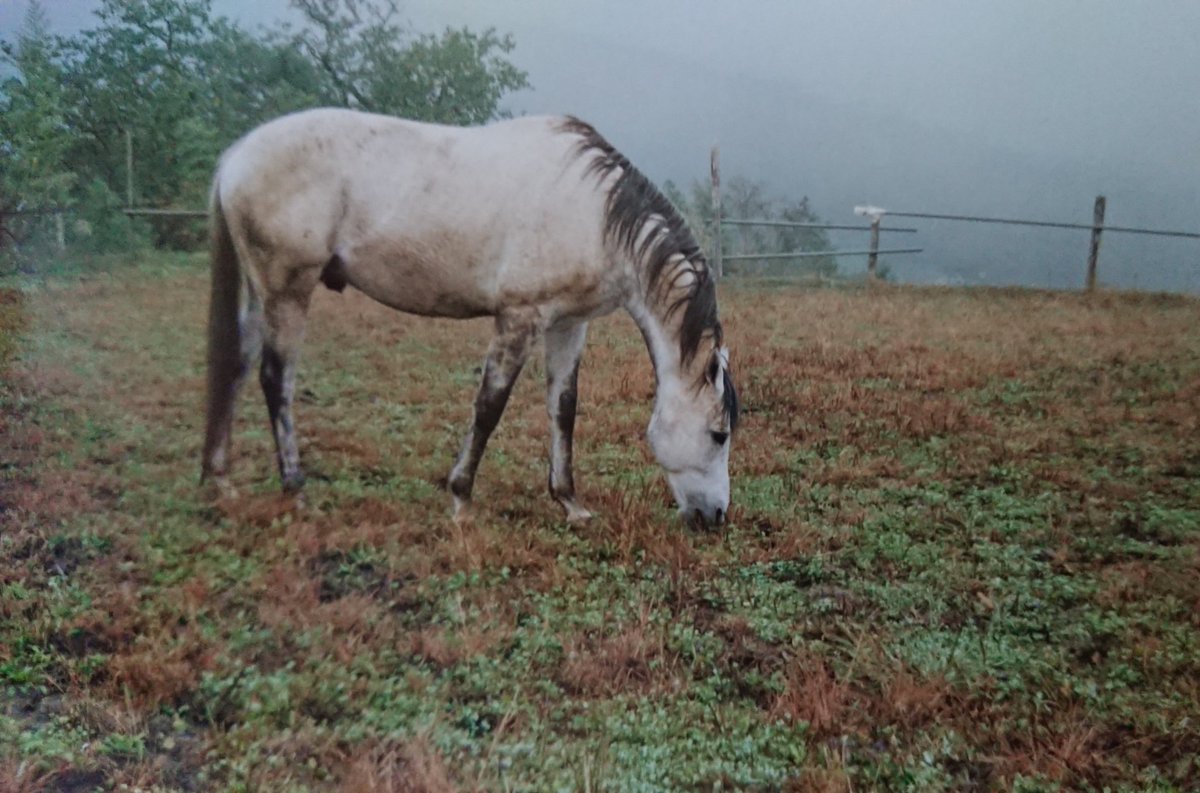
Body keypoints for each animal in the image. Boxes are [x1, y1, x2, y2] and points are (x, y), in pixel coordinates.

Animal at [200, 108, 738, 526]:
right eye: (719, 433)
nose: (714, 517)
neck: (595, 213)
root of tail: (236, 157)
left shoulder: (568, 325)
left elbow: (563, 409)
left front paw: (569, 502)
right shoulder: (519, 319)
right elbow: (489, 406)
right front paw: (460, 498)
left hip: (263, 296)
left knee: (236, 367)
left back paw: (220, 480)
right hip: (287, 291)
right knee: (276, 380)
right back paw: (295, 489)